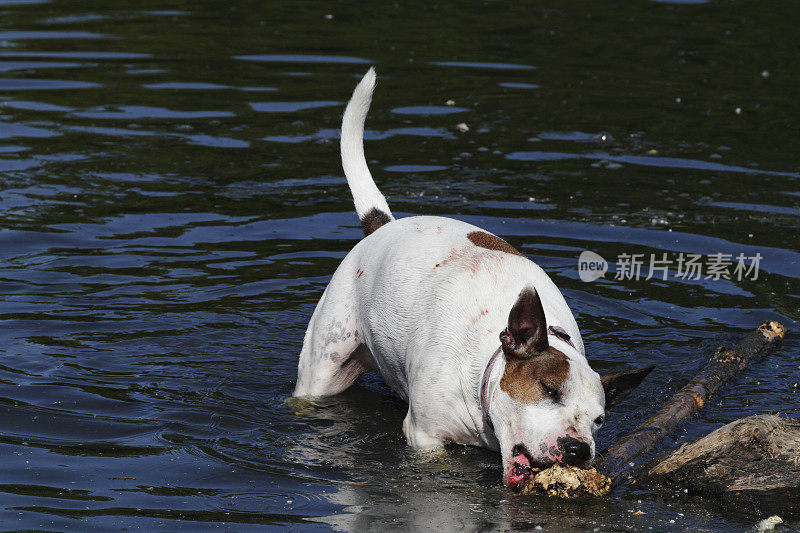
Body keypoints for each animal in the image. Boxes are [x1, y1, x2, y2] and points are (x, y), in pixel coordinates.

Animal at [294, 69, 648, 490]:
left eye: (599, 420)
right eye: (549, 390)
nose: (578, 449)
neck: (483, 372)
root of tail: (385, 225)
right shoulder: (425, 436)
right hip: (321, 370)